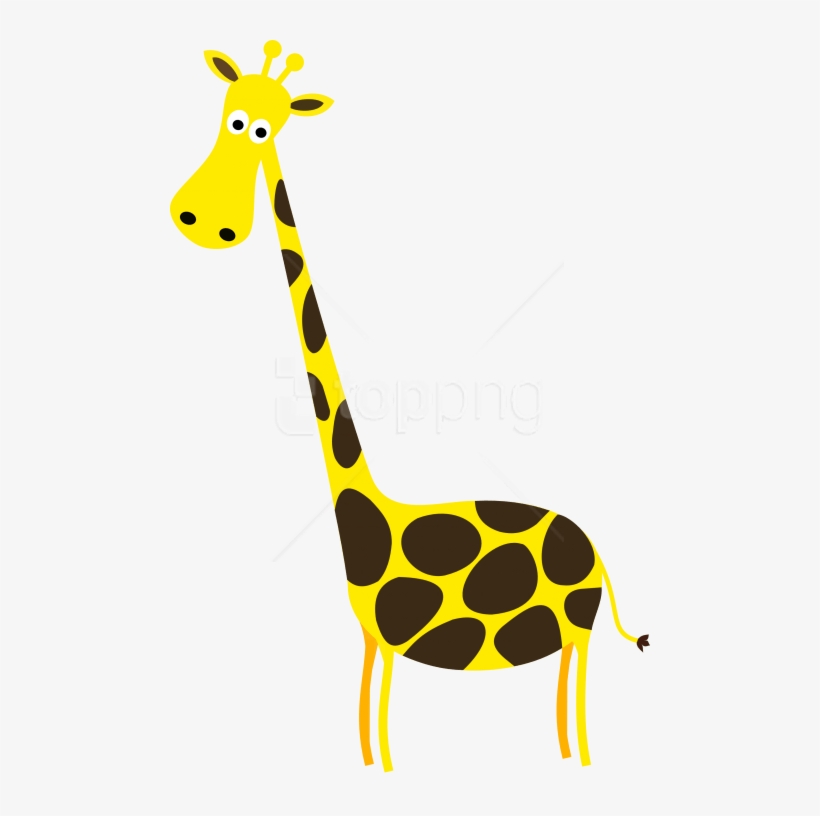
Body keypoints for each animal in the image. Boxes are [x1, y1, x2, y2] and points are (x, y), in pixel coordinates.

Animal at [170, 40, 649, 773]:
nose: (205, 222)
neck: (368, 517)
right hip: (570, 637)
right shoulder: (373, 644)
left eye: (259, 129)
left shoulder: (394, 645)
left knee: (576, 704)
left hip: (577, 635)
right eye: (229, 113)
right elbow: (368, 733)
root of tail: (599, 555)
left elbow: (383, 734)